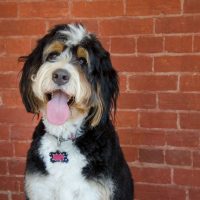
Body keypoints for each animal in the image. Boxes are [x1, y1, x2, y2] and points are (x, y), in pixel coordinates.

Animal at [19, 23, 134, 200]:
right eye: (53, 55)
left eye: (82, 61)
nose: (60, 75)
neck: (63, 137)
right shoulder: (39, 189)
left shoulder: (95, 192)